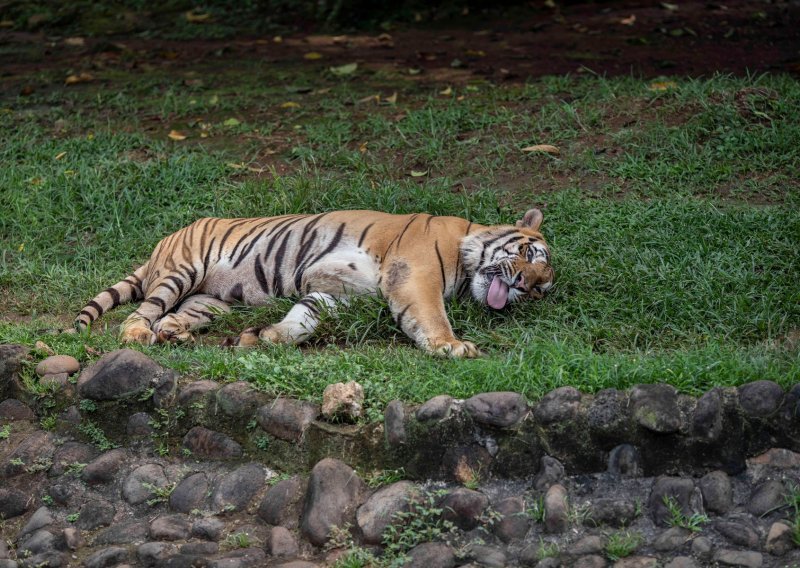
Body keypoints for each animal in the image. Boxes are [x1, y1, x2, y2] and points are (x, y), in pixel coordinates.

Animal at [75, 209, 552, 358]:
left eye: (540, 291)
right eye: (529, 257)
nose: (523, 287)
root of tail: (163, 242)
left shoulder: (338, 293)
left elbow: (303, 319)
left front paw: (262, 338)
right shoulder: (415, 274)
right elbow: (431, 315)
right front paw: (452, 346)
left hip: (211, 299)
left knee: (173, 316)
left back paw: (174, 334)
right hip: (182, 270)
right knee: (144, 311)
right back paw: (137, 334)